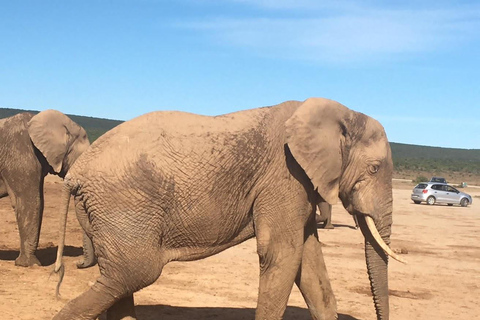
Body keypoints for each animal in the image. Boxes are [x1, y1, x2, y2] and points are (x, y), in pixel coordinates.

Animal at [52, 98, 404, 320]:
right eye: (374, 168)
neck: (342, 113)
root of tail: (75, 175)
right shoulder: (285, 177)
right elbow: (281, 255)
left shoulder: (299, 188)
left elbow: (308, 262)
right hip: (123, 204)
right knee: (134, 273)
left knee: (120, 280)